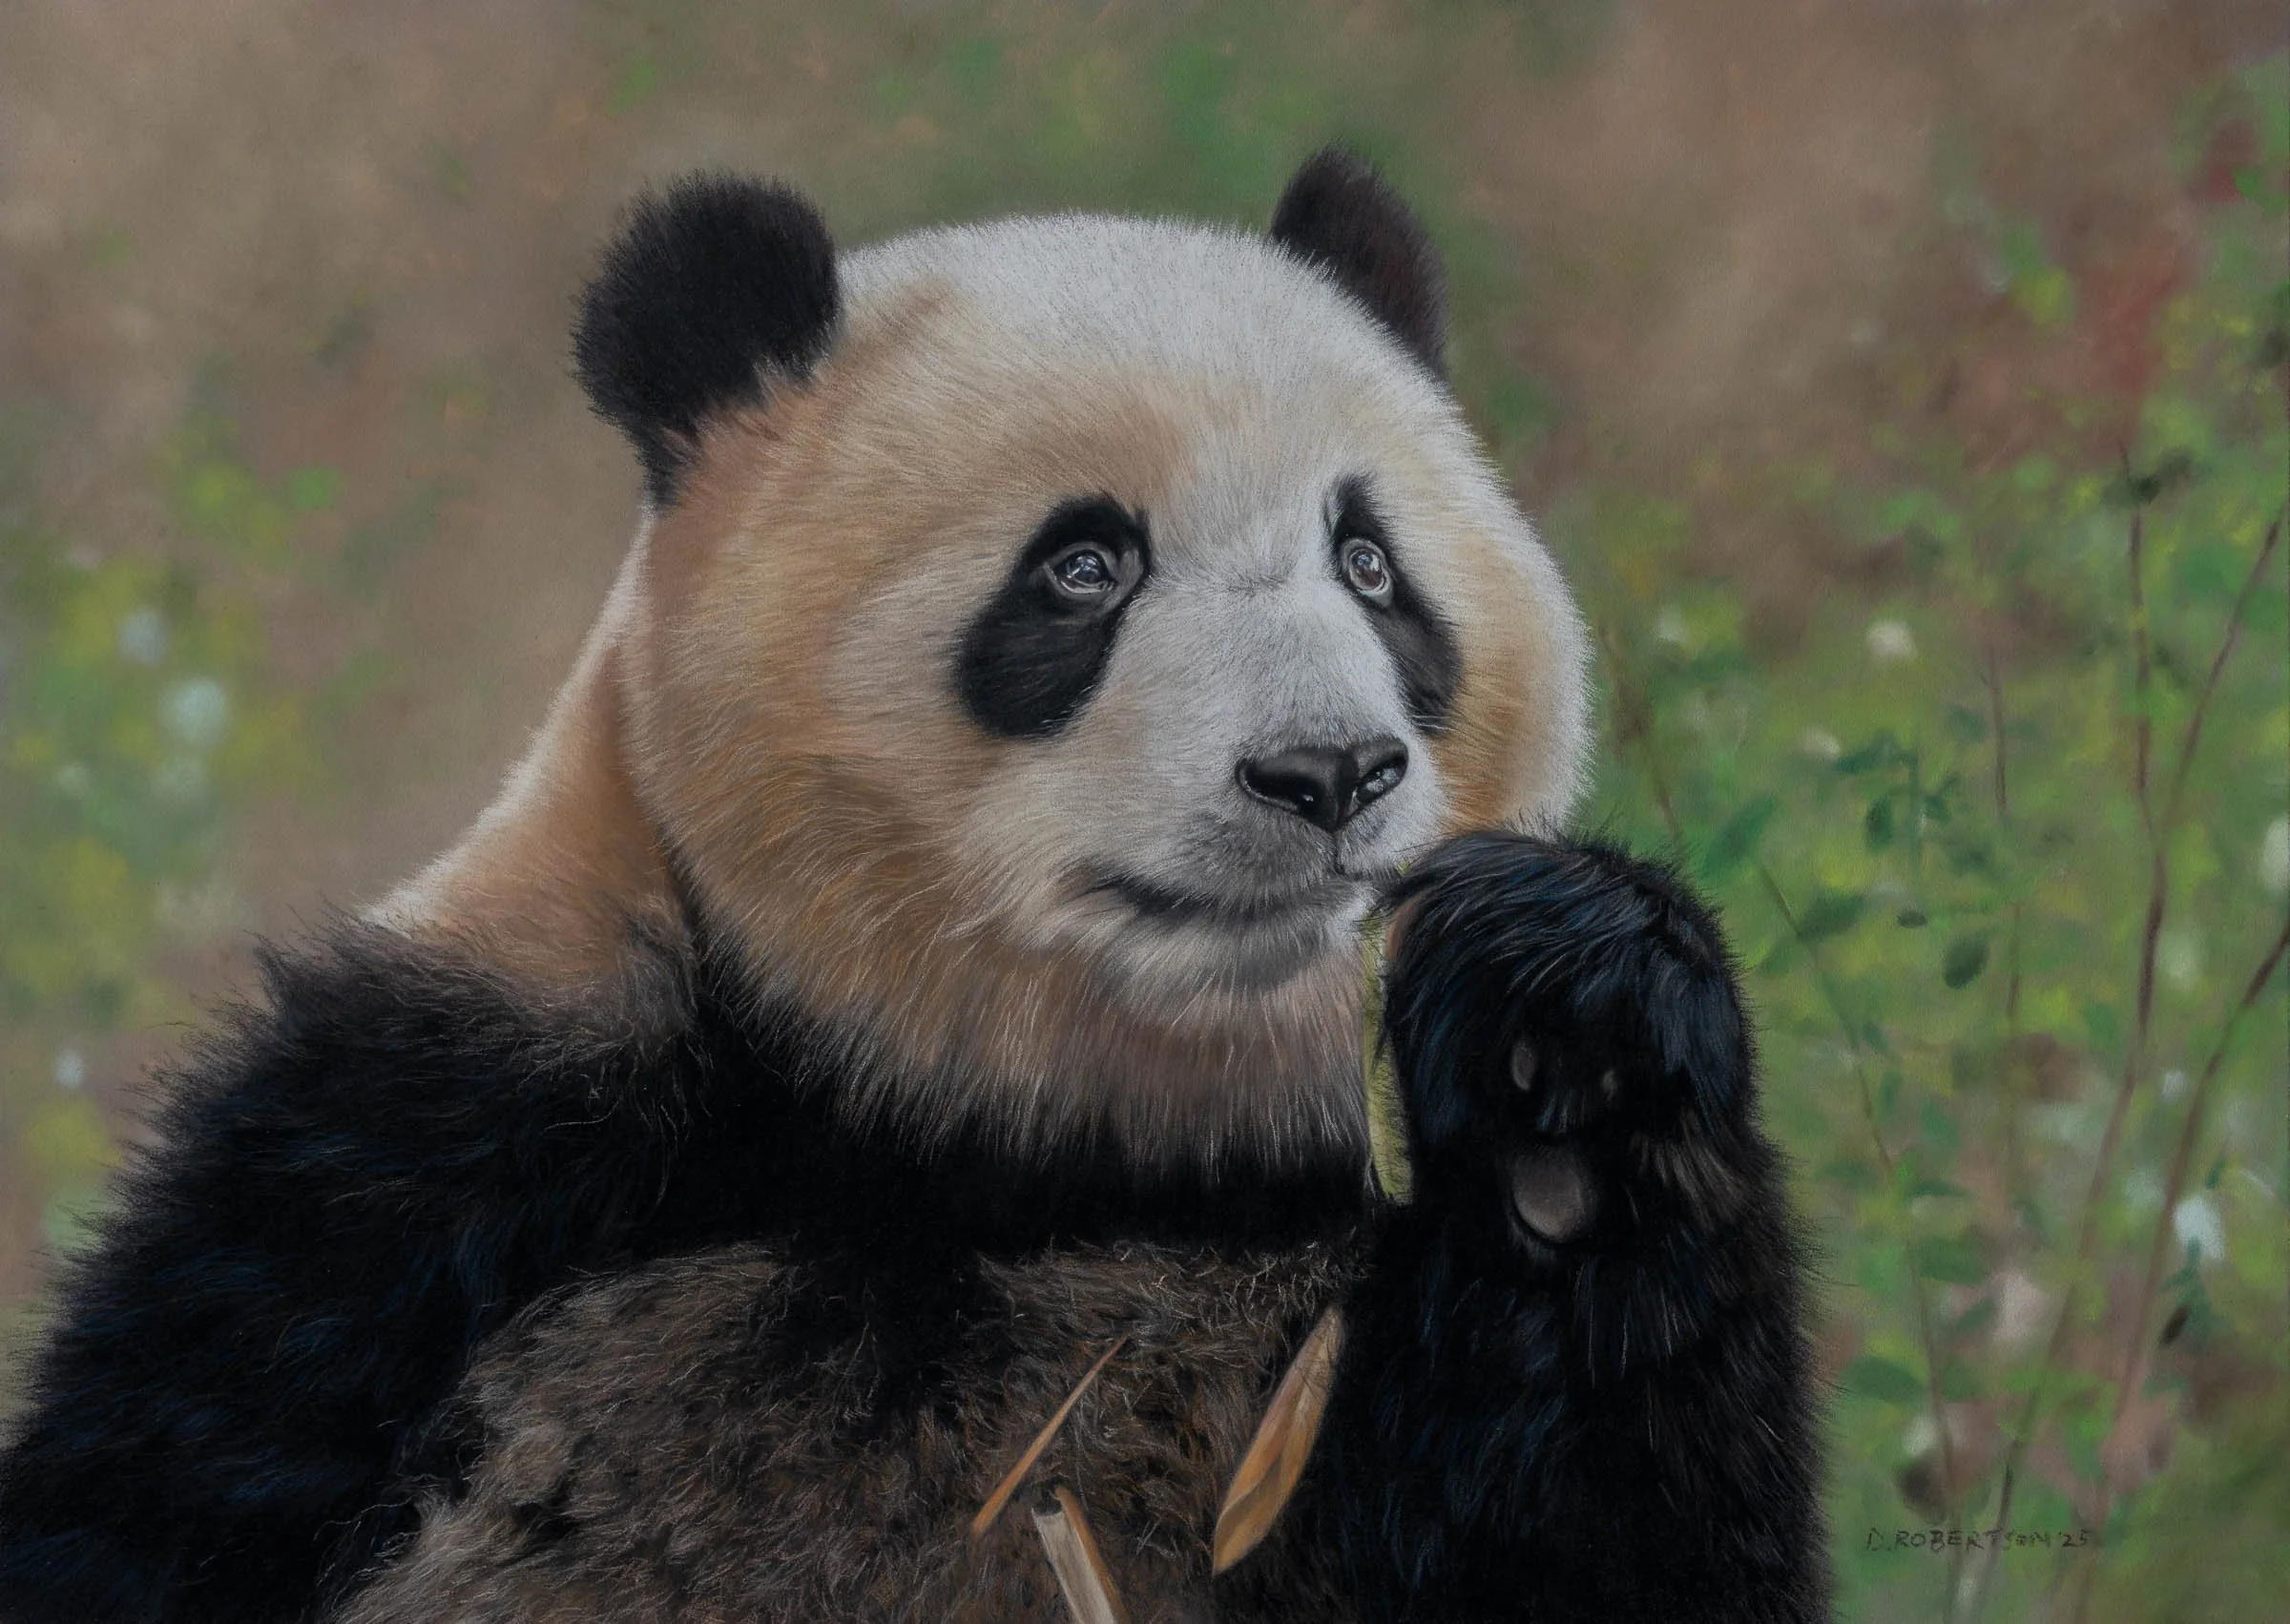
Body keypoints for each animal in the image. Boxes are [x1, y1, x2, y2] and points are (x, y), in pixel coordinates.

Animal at [0, 151, 1826, 1623]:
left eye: (1372, 564)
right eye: (1082, 566)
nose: (1327, 774)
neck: (1026, 1143)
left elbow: (1631, 1541)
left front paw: (1562, 1057)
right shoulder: (423, 1156)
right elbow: (149, 1493)